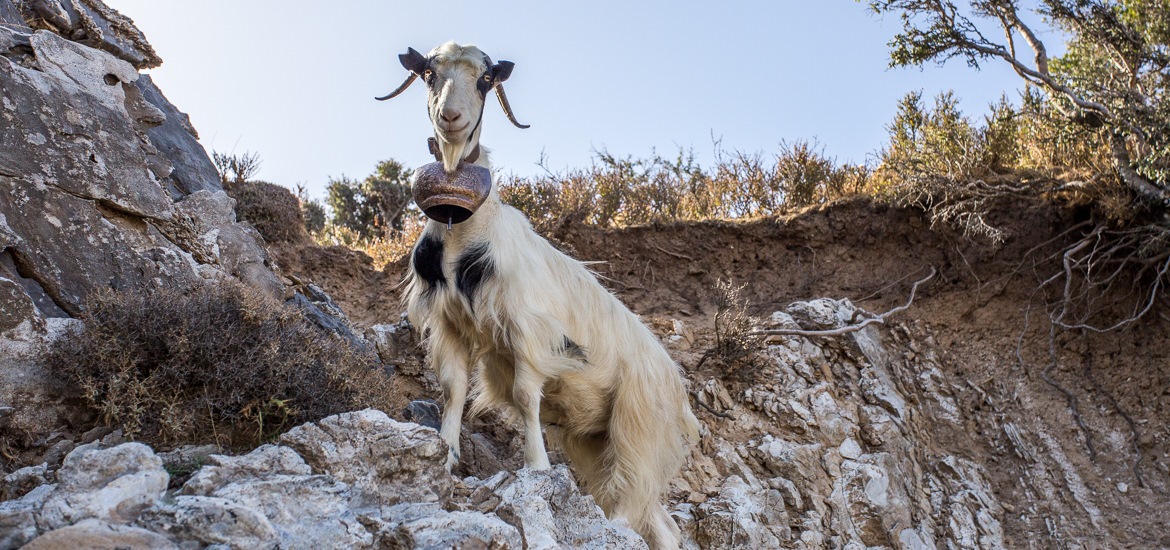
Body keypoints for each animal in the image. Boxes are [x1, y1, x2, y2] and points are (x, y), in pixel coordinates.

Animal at [379, 43, 697, 550]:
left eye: (486, 79)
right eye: (429, 73)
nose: (451, 117)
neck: (464, 234)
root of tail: (676, 386)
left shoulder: (528, 333)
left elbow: (527, 396)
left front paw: (537, 468)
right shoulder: (450, 325)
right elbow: (452, 389)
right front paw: (446, 455)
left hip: (637, 429)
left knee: (632, 502)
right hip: (594, 440)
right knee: (658, 521)